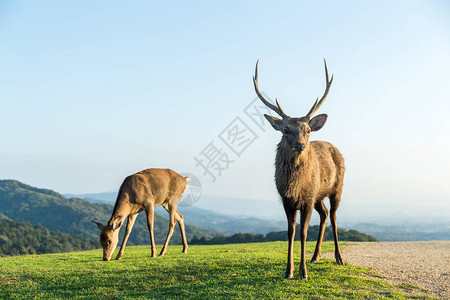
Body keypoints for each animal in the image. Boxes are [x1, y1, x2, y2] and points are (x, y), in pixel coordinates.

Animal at [253, 59, 344, 280]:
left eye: (308, 130)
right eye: (286, 129)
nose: (301, 145)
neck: (295, 186)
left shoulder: (308, 199)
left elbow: (303, 232)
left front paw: (303, 272)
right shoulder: (286, 199)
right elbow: (290, 232)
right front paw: (288, 271)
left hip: (337, 188)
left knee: (334, 217)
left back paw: (338, 258)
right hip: (319, 195)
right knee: (325, 214)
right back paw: (315, 256)